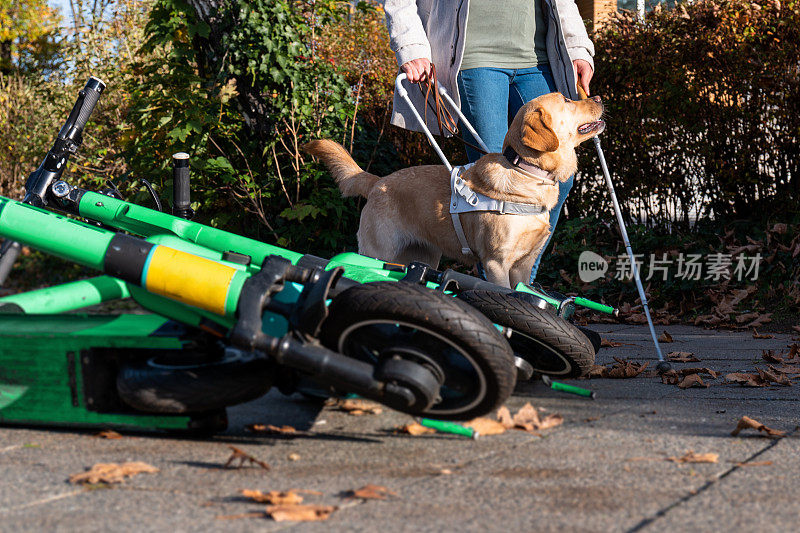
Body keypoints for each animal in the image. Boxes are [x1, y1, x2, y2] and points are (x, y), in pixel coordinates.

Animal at [304, 93, 604, 288]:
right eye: (567, 101)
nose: (599, 97)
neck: (526, 171)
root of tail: (377, 181)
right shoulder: (496, 263)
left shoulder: (524, 265)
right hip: (378, 252)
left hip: (423, 257)